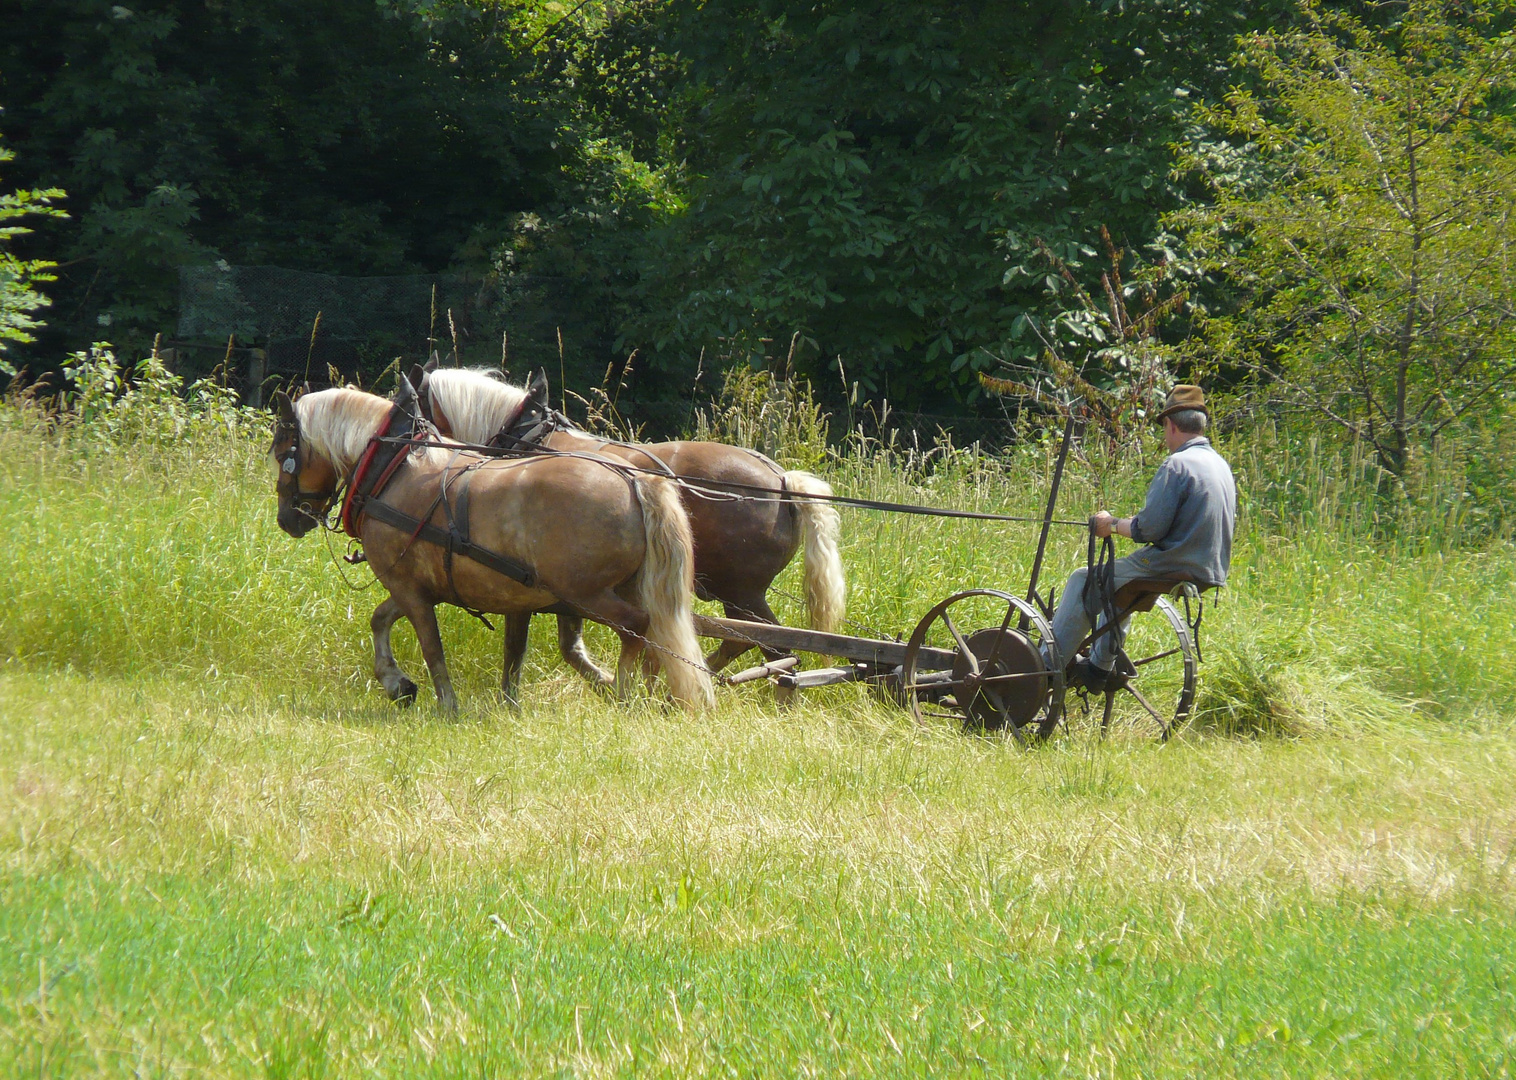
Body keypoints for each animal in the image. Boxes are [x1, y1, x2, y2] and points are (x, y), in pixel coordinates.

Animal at [268, 383, 715, 712]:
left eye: (283, 447)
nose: (287, 519)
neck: (394, 468)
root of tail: (635, 479)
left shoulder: (408, 587)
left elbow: (431, 646)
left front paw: (446, 704)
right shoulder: (418, 584)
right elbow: (380, 620)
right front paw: (397, 684)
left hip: (586, 594)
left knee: (637, 626)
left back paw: (623, 691)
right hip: (622, 587)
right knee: (655, 633)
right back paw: (645, 690)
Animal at [409, 365, 848, 691]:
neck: (529, 439)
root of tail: (782, 481)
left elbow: (545, 644)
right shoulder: (570, 586)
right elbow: (569, 645)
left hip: (742, 592)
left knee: (770, 645)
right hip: (738, 595)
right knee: (746, 640)